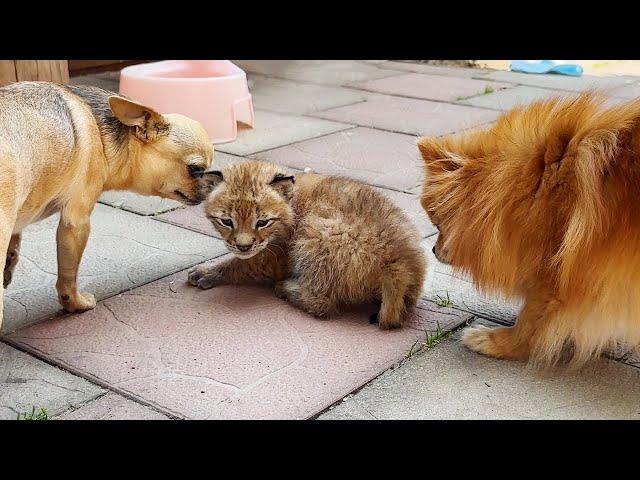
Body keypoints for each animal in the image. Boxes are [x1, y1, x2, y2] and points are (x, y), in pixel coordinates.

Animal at [0, 82, 216, 330]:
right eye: (196, 170)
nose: (213, 185)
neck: (99, 130)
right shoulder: (76, 223)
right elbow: (68, 274)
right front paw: (75, 303)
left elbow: (16, 242)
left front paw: (10, 265)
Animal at [418, 91, 640, 368]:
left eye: (438, 225)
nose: (433, 249)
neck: (536, 186)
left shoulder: (551, 277)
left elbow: (530, 323)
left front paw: (496, 341)